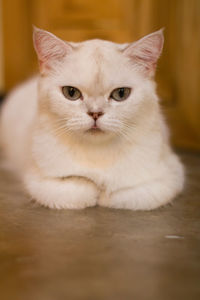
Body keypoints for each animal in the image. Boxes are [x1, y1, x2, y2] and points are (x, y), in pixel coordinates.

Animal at [0, 27, 184, 210]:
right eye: (71, 93)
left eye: (121, 93)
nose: (95, 113)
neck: (98, 153)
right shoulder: (39, 181)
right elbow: (80, 187)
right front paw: (94, 189)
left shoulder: (168, 178)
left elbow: (119, 193)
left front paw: (103, 193)